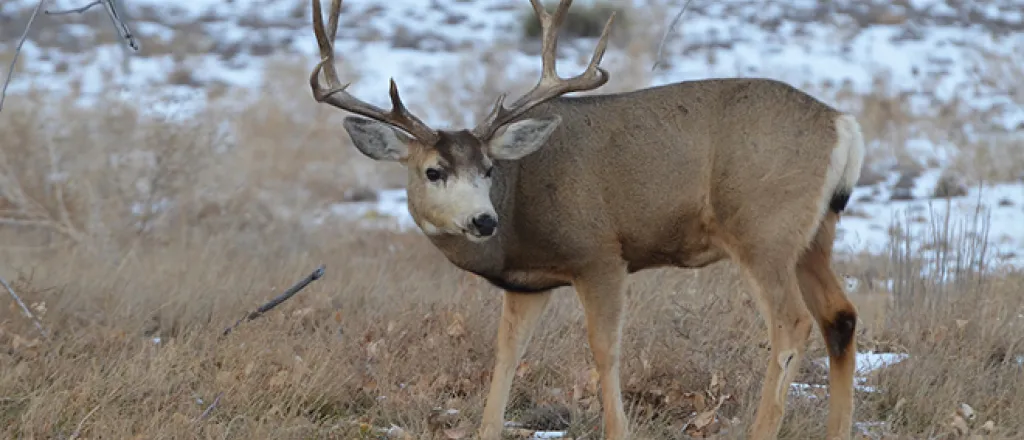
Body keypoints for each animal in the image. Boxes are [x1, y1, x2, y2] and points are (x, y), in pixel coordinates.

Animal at [309, 1, 864, 437]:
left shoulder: (600, 254)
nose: (483, 220)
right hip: (813, 234)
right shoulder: (528, 283)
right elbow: (506, 355)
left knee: (792, 323)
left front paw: (617, 429)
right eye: (434, 170)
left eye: (488, 168)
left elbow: (604, 349)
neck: (519, 207)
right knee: (840, 316)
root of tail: (842, 124)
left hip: (762, 228)